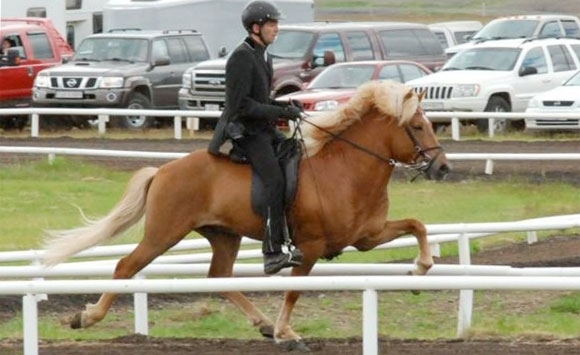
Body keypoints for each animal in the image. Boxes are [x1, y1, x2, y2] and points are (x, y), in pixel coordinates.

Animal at [42, 80, 448, 354]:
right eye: (417, 126)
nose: (442, 168)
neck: (346, 169)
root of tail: (164, 170)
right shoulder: (311, 247)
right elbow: (293, 291)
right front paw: (287, 333)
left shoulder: (366, 236)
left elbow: (417, 225)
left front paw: (420, 269)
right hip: (165, 232)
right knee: (126, 266)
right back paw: (86, 317)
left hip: (224, 235)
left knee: (219, 278)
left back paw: (262, 323)